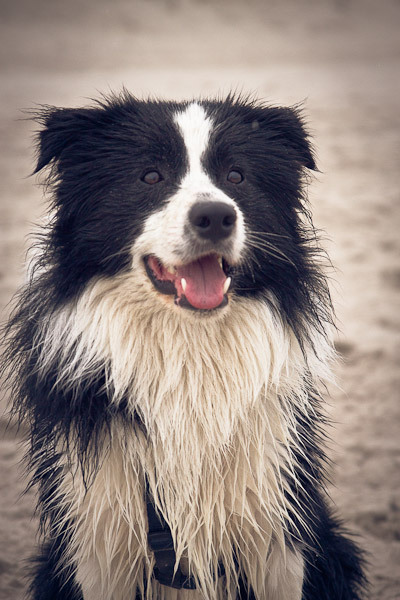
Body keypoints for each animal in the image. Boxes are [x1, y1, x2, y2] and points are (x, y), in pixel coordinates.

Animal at [3, 91, 366, 596]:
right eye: (150, 176)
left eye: (236, 176)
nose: (215, 216)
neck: (189, 346)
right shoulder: (98, 534)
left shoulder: (277, 523)